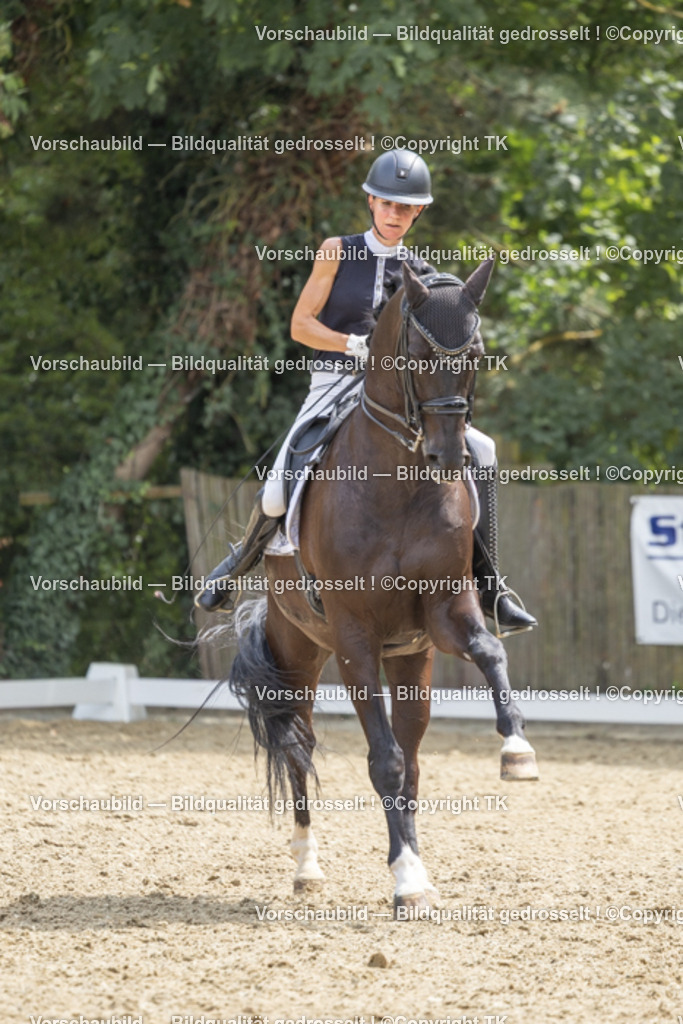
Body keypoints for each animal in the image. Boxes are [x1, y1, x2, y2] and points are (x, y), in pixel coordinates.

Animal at [224, 259, 538, 914]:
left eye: (475, 353)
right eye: (416, 353)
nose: (447, 456)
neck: (400, 481)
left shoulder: (445, 614)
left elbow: (489, 653)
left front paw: (517, 750)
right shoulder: (354, 640)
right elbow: (383, 760)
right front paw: (408, 879)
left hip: (412, 658)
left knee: (413, 753)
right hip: (300, 649)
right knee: (300, 742)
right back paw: (307, 866)